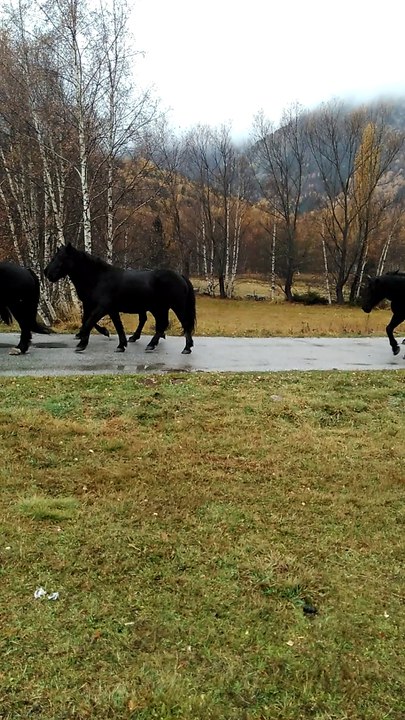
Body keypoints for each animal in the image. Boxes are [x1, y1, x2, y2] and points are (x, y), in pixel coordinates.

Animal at [44, 243, 196, 354]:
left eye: (62, 258)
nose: (47, 273)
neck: (99, 278)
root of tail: (180, 276)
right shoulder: (108, 309)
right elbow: (116, 326)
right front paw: (121, 345)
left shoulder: (102, 308)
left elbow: (89, 322)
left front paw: (82, 343)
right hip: (159, 308)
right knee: (161, 324)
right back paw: (151, 344)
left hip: (176, 306)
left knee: (184, 323)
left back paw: (186, 348)